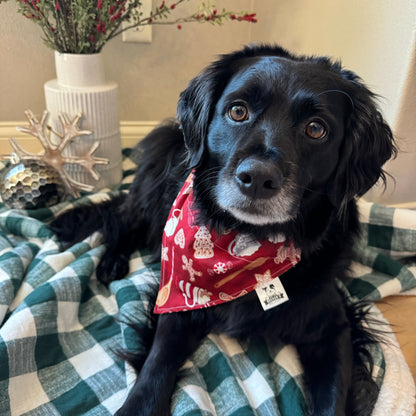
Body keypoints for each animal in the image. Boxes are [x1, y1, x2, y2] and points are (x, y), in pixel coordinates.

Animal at [52, 44, 396, 414]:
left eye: (316, 129)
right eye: (238, 111)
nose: (257, 178)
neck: (244, 243)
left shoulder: (333, 327)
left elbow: (333, 400)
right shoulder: (176, 300)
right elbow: (155, 367)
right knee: (121, 219)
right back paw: (111, 262)